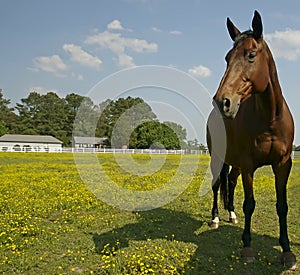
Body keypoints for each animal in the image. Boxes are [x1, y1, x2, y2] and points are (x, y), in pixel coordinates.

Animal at [207, 10, 296, 268]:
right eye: (227, 58)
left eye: (251, 55)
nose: (222, 101)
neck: (270, 119)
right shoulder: (249, 166)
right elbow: (250, 204)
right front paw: (247, 247)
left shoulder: (283, 165)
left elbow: (282, 206)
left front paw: (287, 250)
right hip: (217, 159)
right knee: (216, 185)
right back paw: (215, 218)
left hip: (234, 164)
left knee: (230, 183)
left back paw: (231, 214)